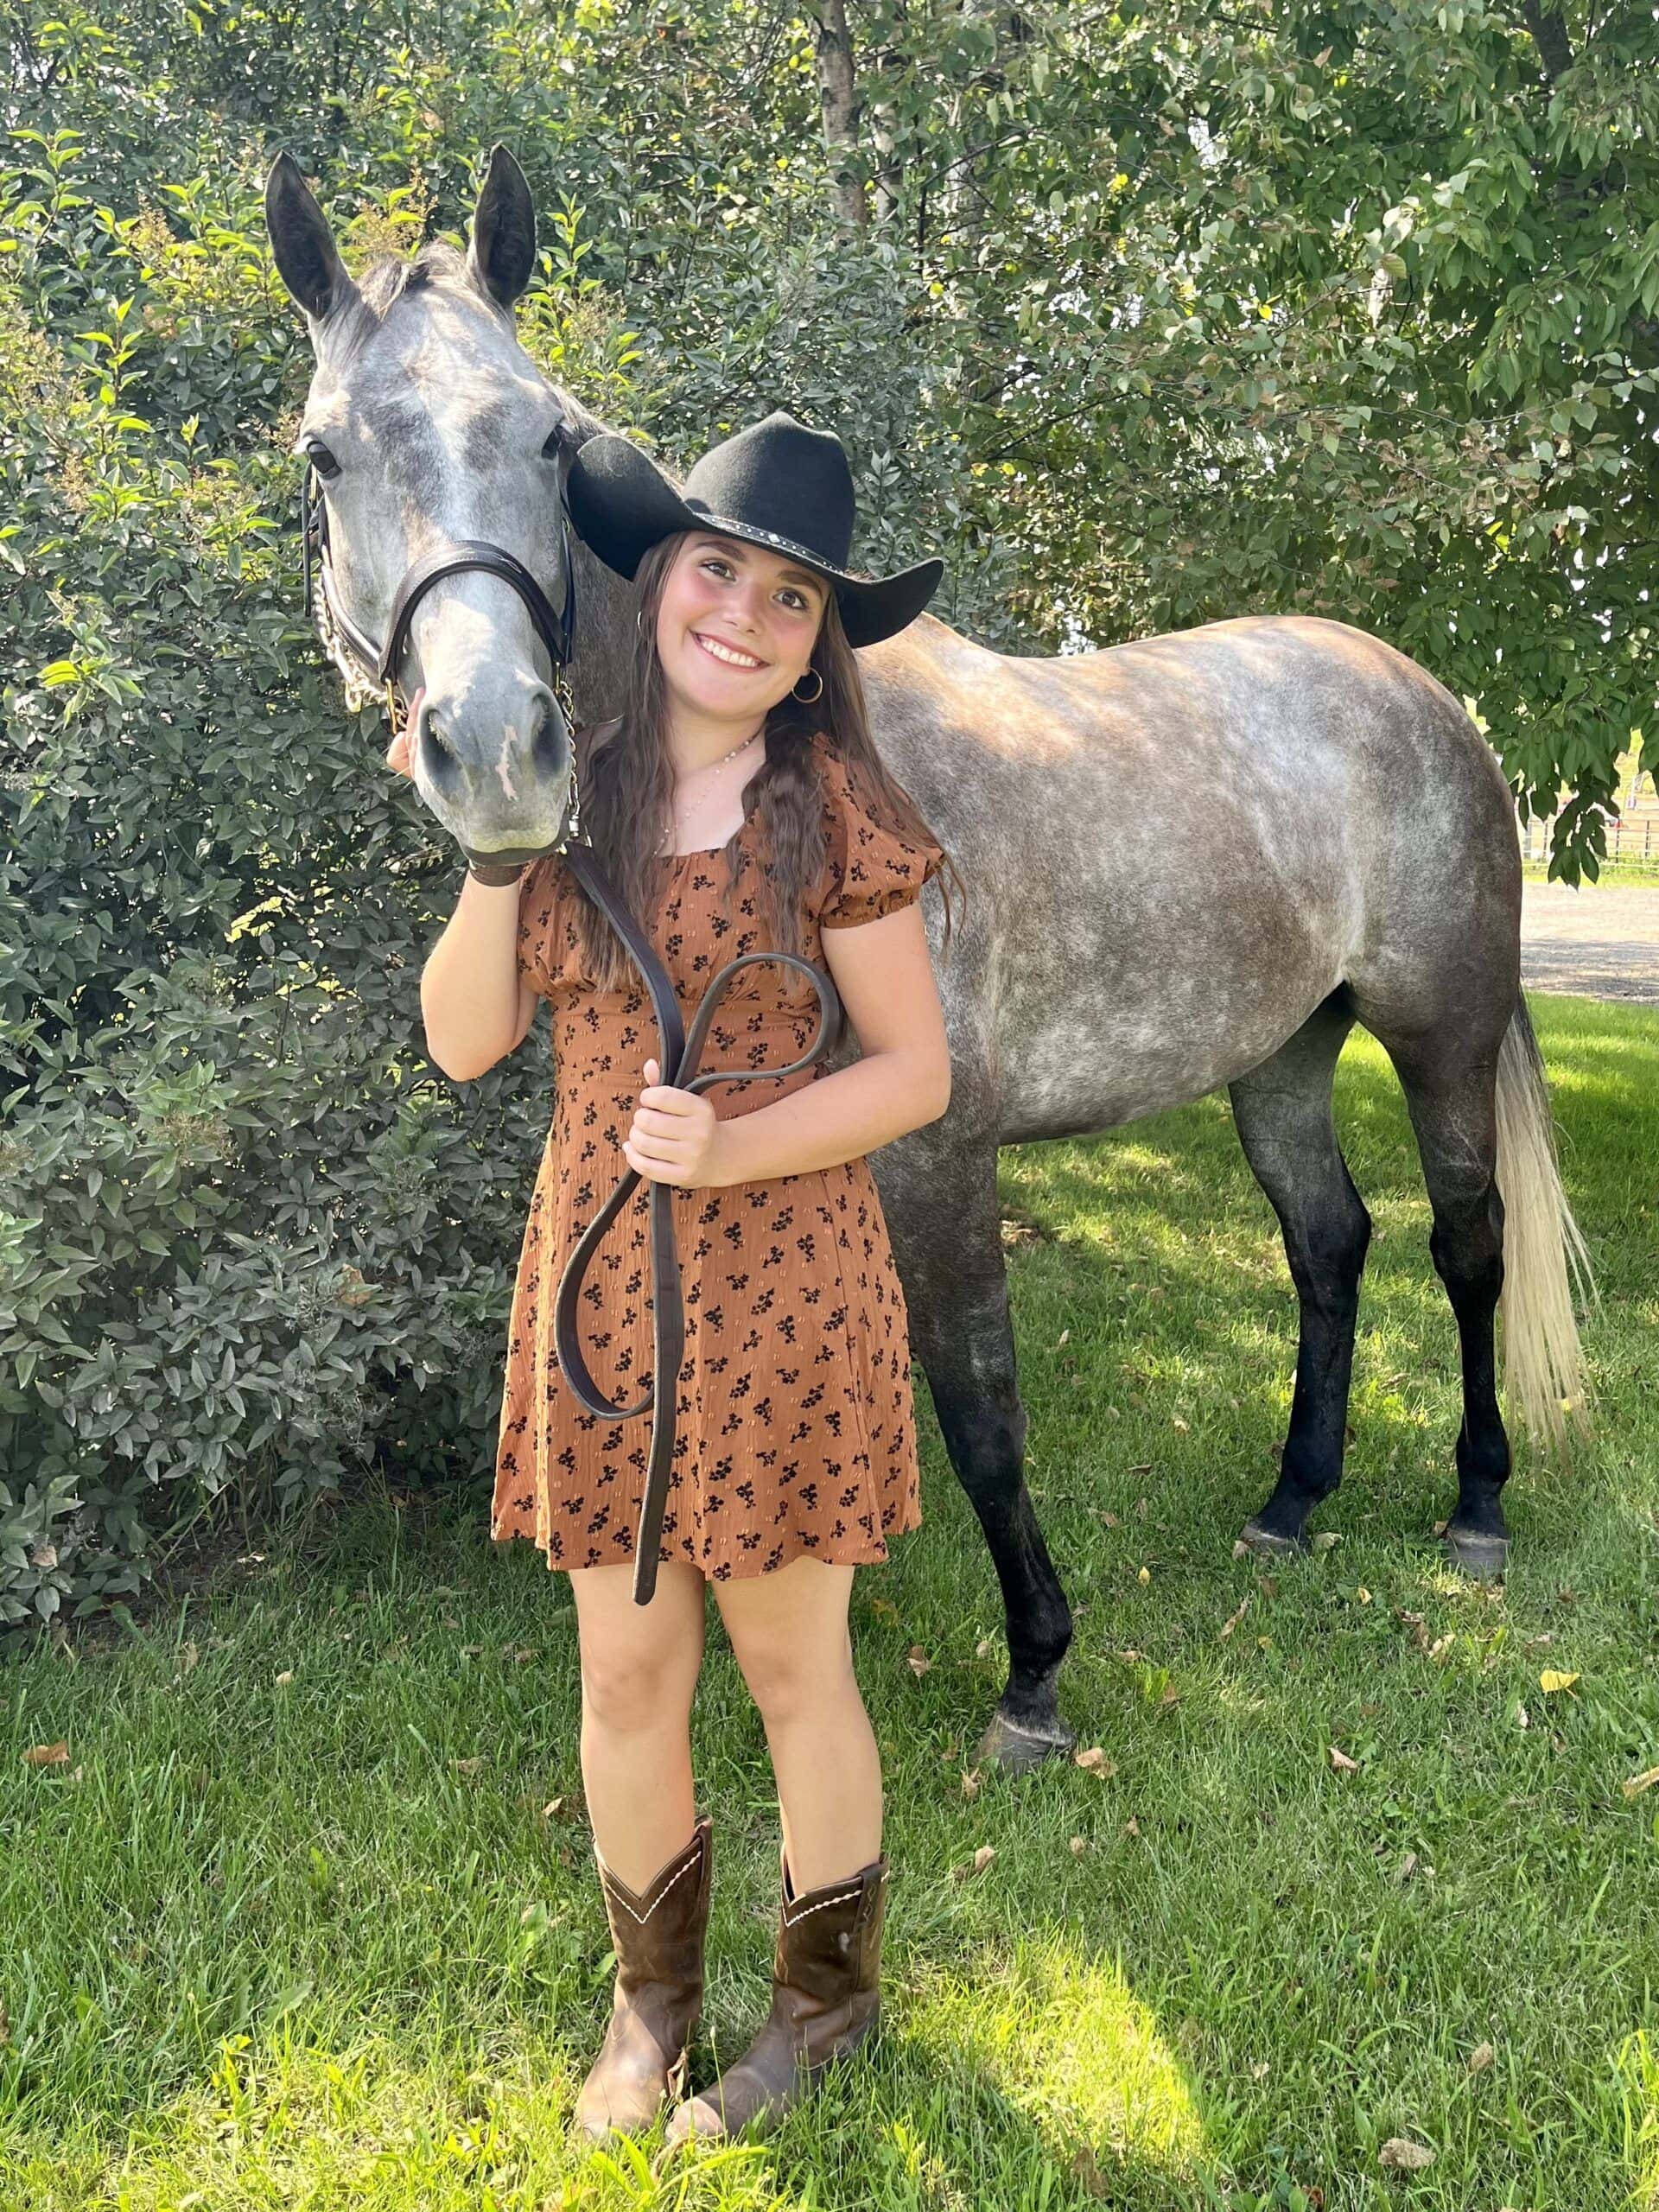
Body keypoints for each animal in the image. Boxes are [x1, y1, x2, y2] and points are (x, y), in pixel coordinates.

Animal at [265, 146, 1592, 1772]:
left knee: (1467, 1244)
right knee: (1328, 1241)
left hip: (1439, 1034)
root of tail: (1428, 698)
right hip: (1280, 1053)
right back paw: (1292, 1501)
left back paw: (1477, 1506)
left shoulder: (940, 1158)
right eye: (326, 453)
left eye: (549, 434)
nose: (498, 752)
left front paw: (1034, 1675)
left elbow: (979, 1408)